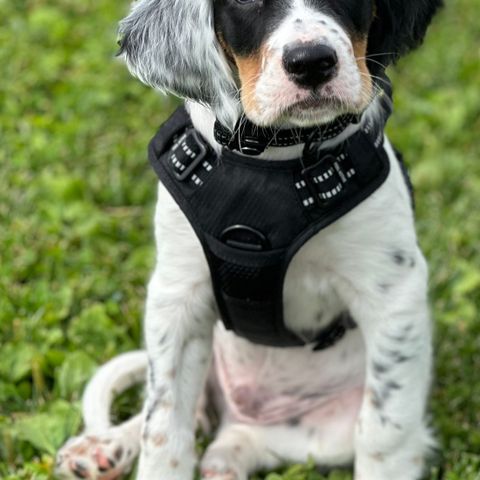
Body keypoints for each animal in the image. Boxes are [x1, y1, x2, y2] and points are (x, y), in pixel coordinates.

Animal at [56, 0, 442, 480]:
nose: (311, 62)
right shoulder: (177, 298)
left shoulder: (392, 295)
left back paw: (224, 459)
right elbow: (163, 425)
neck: (276, 160)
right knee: (171, 411)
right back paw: (107, 445)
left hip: (324, 433)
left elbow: (384, 430)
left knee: (251, 438)